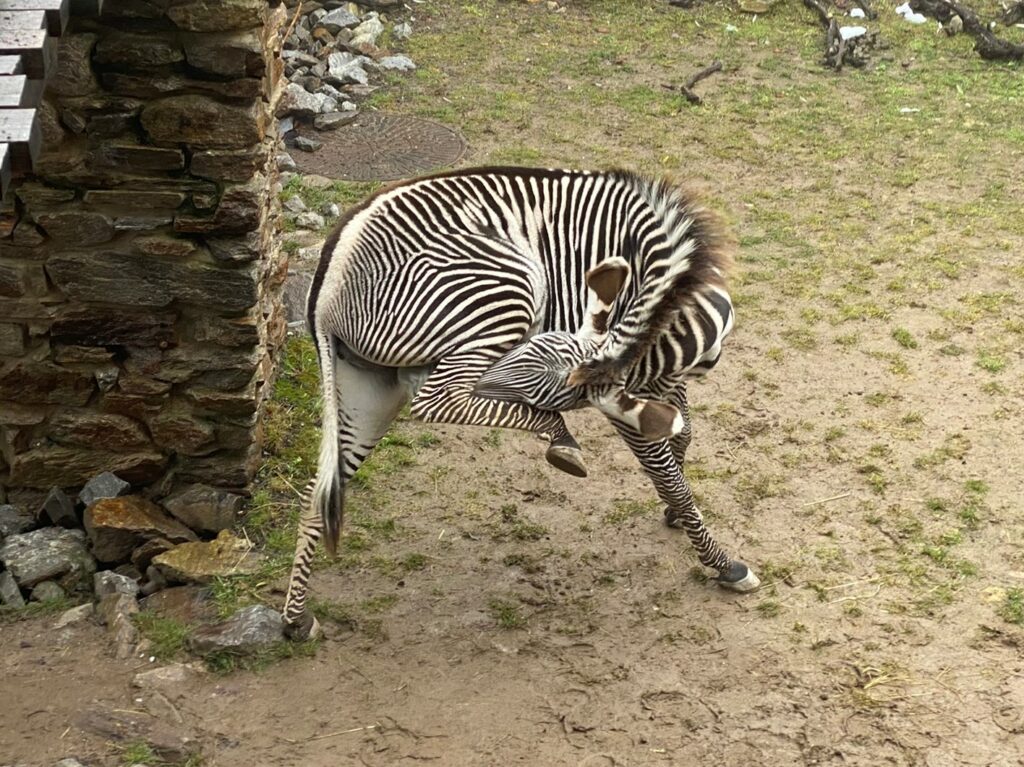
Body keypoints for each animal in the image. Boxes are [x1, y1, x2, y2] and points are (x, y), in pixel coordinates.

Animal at [282, 166, 760, 640]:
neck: (672, 304)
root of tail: (326, 287)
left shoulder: (659, 381)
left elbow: (683, 435)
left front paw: (677, 513)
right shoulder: (627, 396)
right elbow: (667, 475)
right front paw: (722, 562)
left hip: (369, 388)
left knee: (318, 489)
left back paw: (296, 619)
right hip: (505, 290)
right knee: (438, 399)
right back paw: (560, 439)